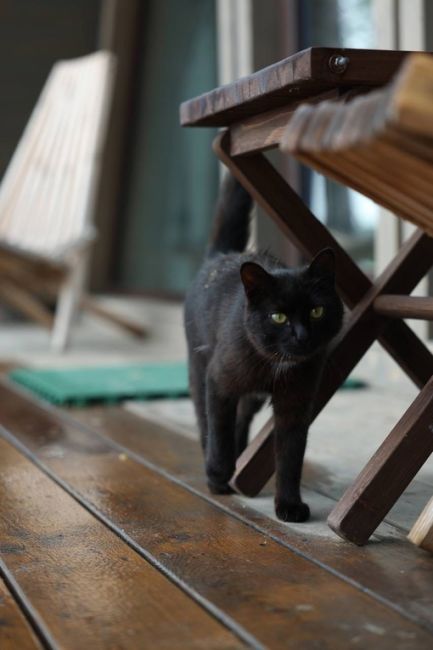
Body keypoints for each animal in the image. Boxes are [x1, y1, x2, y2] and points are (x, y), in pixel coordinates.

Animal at [184, 173, 342, 520]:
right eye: (278, 316)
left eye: (316, 311)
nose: (301, 335)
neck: (276, 365)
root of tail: (221, 255)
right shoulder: (219, 381)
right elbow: (218, 430)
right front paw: (219, 476)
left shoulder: (296, 403)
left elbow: (290, 457)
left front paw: (289, 505)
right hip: (198, 369)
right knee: (204, 420)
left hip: (251, 399)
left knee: (241, 420)